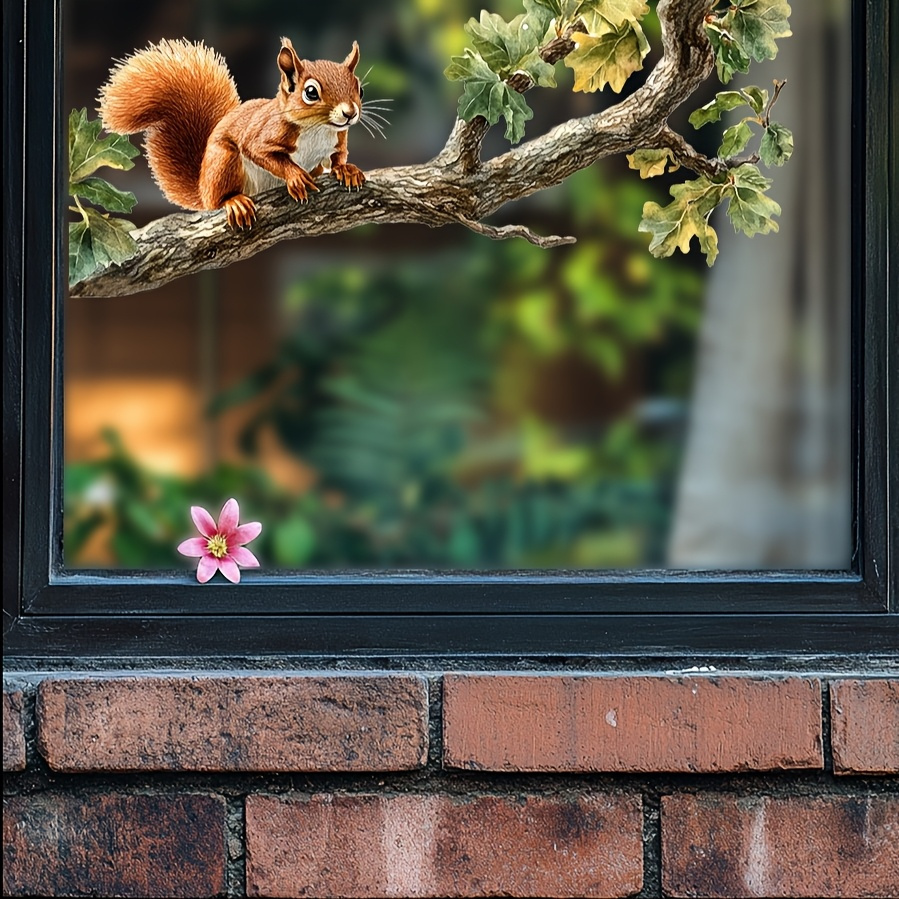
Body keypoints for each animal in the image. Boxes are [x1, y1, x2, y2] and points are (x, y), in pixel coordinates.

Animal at [98, 37, 366, 230]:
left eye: (359, 89)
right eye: (311, 92)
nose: (350, 113)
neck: (318, 129)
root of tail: (202, 188)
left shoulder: (338, 140)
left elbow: (338, 156)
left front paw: (347, 170)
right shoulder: (262, 133)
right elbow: (263, 154)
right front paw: (296, 176)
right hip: (223, 161)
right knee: (218, 200)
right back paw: (234, 202)